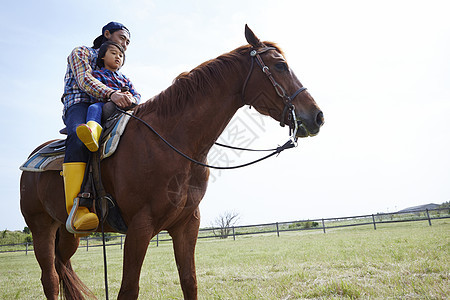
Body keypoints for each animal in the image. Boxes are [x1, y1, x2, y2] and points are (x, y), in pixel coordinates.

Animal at [20, 26, 324, 300]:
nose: (317, 116)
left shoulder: (187, 224)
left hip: (68, 232)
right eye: (281, 65)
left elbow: (189, 281)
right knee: (50, 279)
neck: (171, 141)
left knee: (62, 267)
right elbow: (128, 289)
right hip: (41, 228)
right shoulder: (140, 227)